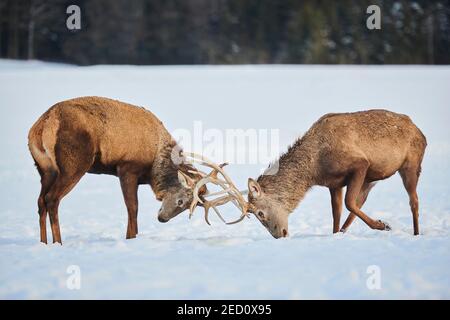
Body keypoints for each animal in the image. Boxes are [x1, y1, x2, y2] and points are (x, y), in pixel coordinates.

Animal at [29, 96, 207, 244]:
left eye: (188, 207)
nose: (162, 218)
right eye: (181, 200)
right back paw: (58, 242)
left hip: (45, 169)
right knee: (52, 198)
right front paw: (131, 238)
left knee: (40, 200)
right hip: (73, 165)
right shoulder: (127, 168)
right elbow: (132, 208)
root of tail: (43, 125)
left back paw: (43, 242)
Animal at [189, 110, 426, 238]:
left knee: (413, 200)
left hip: (411, 164)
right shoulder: (334, 183)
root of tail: (420, 132)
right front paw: (336, 234)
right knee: (362, 202)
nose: (280, 235)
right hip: (372, 179)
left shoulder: (360, 163)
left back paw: (413, 232)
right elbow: (338, 211)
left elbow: (349, 203)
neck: (314, 168)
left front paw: (382, 224)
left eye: (260, 214)